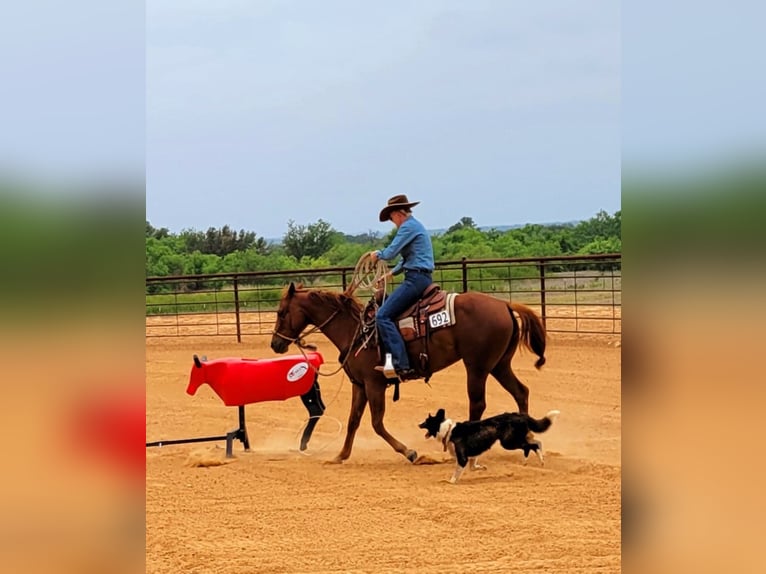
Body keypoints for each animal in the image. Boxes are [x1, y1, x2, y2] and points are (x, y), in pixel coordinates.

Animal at [270, 286, 544, 466]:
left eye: (281, 312)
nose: (275, 344)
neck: (356, 331)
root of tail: (504, 305)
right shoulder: (359, 385)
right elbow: (353, 421)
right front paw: (340, 456)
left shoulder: (374, 384)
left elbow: (376, 423)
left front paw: (410, 452)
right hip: (499, 365)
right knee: (521, 392)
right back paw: (526, 439)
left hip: (477, 366)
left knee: (478, 403)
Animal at [424, 410, 560, 486]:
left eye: (426, 421)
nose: (420, 424)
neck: (448, 430)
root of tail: (519, 415)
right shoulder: (473, 455)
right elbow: (473, 467)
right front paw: (483, 468)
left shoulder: (462, 458)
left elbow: (456, 472)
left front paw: (450, 481)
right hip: (515, 440)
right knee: (536, 443)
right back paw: (532, 461)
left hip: (509, 443)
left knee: (533, 445)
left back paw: (540, 461)